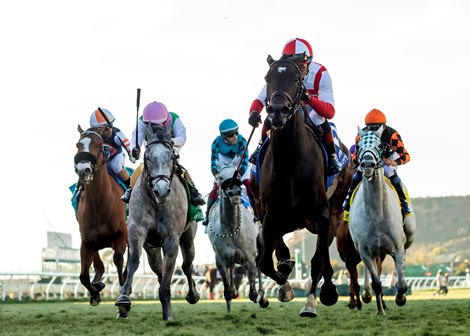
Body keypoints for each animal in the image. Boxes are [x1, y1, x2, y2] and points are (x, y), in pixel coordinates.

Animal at [72, 124, 126, 306]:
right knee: (99, 265)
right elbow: (83, 276)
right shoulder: (86, 241)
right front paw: (96, 291)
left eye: (98, 145)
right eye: (78, 145)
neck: (99, 203)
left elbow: (119, 260)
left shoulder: (122, 235)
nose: (84, 169)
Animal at [117, 124, 200, 320]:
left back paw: (193, 295)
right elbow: (134, 260)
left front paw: (168, 314)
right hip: (152, 248)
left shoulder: (171, 239)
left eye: (171, 156)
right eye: (147, 157)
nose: (161, 191)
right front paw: (124, 297)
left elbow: (171, 270)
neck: (156, 202)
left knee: (187, 264)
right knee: (159, 268)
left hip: (188, 236)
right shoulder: (137, 231)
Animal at [208, 160, 270, 312]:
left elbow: (252, 289)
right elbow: (227, 287)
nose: (234, 192)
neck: (231, 228)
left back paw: (262, 297)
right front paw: (230, 299)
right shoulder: (221, 259)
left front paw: (258, 295)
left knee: (259, 265)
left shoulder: (249, 256)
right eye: (220, 177)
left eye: (238, 174)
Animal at [258, 55, 352, 318]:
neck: (290, 161)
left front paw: (314, 300)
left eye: (295, 79)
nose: (277, 111)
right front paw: (285, 286)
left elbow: (317, 261)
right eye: (268, 78)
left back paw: (324, 292)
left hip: (333, 212)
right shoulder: (270, 216)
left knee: (323, 253)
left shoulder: (321, 215)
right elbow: (265, 263)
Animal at [348, 126, 414, 316]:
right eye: (358, 145)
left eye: (379, 145)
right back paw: (367, 294)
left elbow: (401, 284)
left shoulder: (397, 247)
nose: (367, 165)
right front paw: (379, 310)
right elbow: (377, 283)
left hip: (409, 234)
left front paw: (400, 298)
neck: (376, 215)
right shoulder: (364, 250)